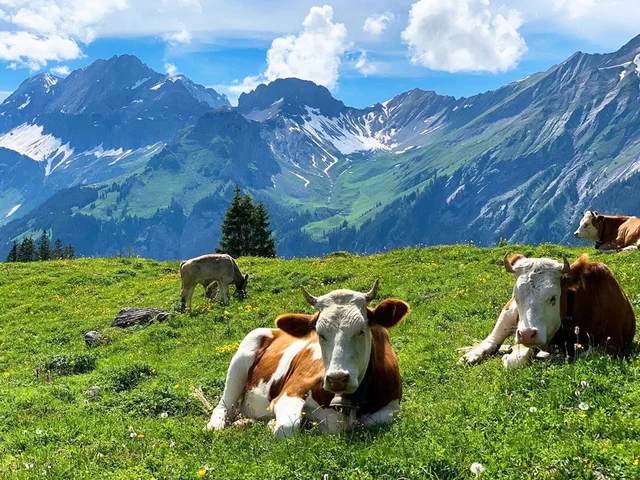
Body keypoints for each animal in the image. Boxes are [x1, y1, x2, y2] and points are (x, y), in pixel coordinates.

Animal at [206, 280, 410, 438]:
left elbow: (373, 420)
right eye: (319, 333)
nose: (337, 378)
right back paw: (216, 425)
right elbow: (286, 428)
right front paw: (275, 424)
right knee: (224, 405)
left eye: (361, 330)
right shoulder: (289, 392)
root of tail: (276, 329)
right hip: (242, 355)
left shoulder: (392, 407)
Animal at [459, 253, 635, 369]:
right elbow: (515, 360)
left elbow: (585, 355)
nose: (526, 334)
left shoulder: (613, 343)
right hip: (508, 314)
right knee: (493, 339)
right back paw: (471, 356)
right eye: (517, 297)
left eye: (553, 298)